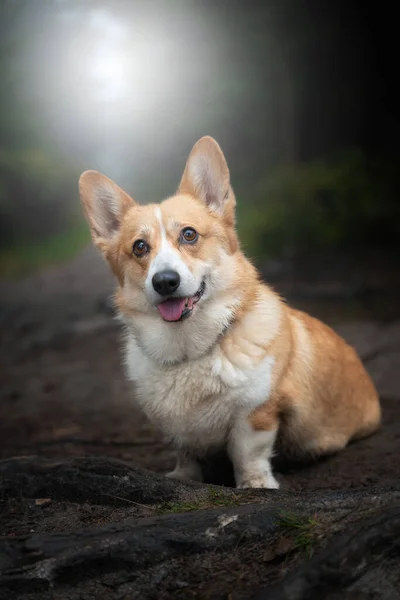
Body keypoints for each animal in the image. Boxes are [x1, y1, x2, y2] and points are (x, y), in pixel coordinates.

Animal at [78, 136, 382, 488]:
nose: (165, 281)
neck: (189, 350)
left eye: (189, 234)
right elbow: (186, 452)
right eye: (140, 247)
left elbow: (247, 453)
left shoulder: (256, 413)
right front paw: (183, 477)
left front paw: (256, 485)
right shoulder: (178, 431)